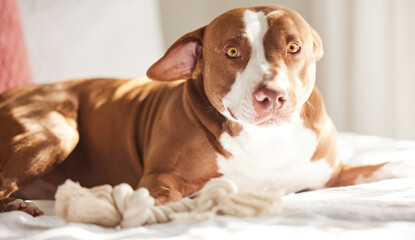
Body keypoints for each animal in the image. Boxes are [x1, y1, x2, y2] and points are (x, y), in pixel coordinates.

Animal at [0, 6, 410, 216]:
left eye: (294, 48)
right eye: (232, 52)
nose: (272, 95)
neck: (265, 140)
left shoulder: (329, 173)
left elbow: (378, 168)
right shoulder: (161, 178)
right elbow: (160, 198)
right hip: (55, 133)